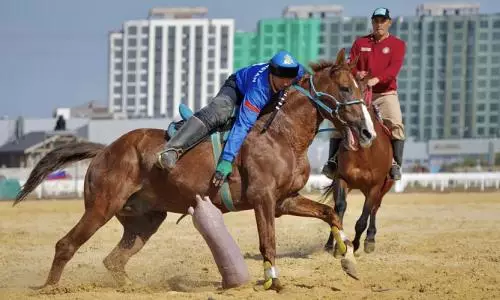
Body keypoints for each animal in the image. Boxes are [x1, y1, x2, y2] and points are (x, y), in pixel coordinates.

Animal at [13, 48, 376, 290]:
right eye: (346, 89)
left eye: (362, 89)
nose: (368, 132)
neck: (281, 134)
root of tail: (105, 150)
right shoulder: (264, 200)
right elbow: (268, 242)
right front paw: (272, 281)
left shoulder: (285, 200)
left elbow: (330, 214)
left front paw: (348, 258)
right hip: (101, 206)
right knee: (66, 245)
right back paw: (50, 288)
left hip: (145, 220)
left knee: (113, 260)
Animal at [322, 84, 396, 255]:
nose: (365, 132)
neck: (364, 153)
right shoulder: (342, 180)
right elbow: (338, 209)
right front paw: (337, 246)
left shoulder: (375, 186)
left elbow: (363, 219)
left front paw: (355, 245)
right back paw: (330, 244)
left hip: (383, 188)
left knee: (374, 209)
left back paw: (370, 239)